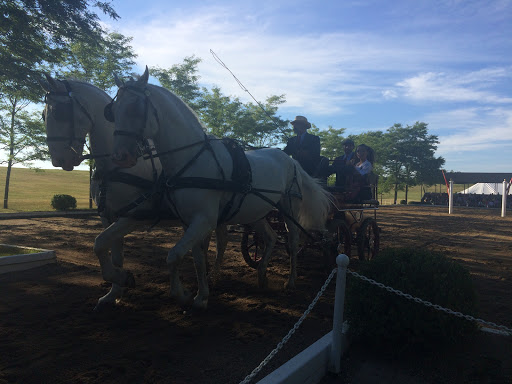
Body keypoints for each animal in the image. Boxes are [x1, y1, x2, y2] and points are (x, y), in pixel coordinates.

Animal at [38, 76, 226, 310]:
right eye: (43, 115)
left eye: (59, 113)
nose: (59, 160)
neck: (116, 169)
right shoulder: (108, 216)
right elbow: (110, 253)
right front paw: (114, 292)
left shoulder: (133, 217)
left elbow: (99, 243)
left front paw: (123, 279)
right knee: (203, 249)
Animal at [109, 67, 332, 308]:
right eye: (113, 111)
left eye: (135, 107)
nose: (120, 156)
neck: (193, 159)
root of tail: (292, 161)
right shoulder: (190, 221)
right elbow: (197, 259)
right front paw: (201, 296)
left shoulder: (204, 220)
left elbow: (174, 256)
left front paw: (182, 294)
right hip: (255, 212)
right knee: (271, 237)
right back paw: (262, 275)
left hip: (288, 209)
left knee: (292, 241)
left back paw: (290, 281)